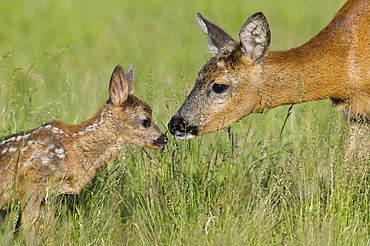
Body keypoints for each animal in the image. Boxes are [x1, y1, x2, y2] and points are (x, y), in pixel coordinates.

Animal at [0, 64, 168, 232]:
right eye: (146, 121)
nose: (164, 139)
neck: (74, 148)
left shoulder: (47, 195)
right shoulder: (31, 182)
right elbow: (30, 227)